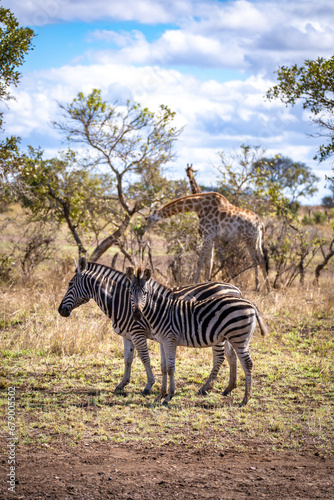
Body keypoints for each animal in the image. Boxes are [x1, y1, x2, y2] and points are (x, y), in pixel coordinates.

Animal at [58, 258, 243, 394]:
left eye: (70, 285)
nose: (60, 310)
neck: (120, 301)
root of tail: (235, 289)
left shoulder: (137, 332)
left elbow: (144, 358)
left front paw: (148, 386)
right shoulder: (127, 335)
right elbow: (128, 359)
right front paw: (122, 384)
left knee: (219, 357)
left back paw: (205, 388)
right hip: (228, 332)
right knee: (231, 355)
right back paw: (229, 388)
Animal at [126, 268, 268, 404]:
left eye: (145, 293)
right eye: (130, 293)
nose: (137, 315)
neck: (160, 312)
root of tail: (249, 303)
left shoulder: (170, 340)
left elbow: (171, 368)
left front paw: (169, 396)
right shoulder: (162, 342)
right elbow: (164, 368)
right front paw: (160, 395)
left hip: (239, 338)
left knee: (247, 364)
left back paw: (245, 399)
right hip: (234, 337)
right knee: (236, 359)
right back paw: (232, 390)